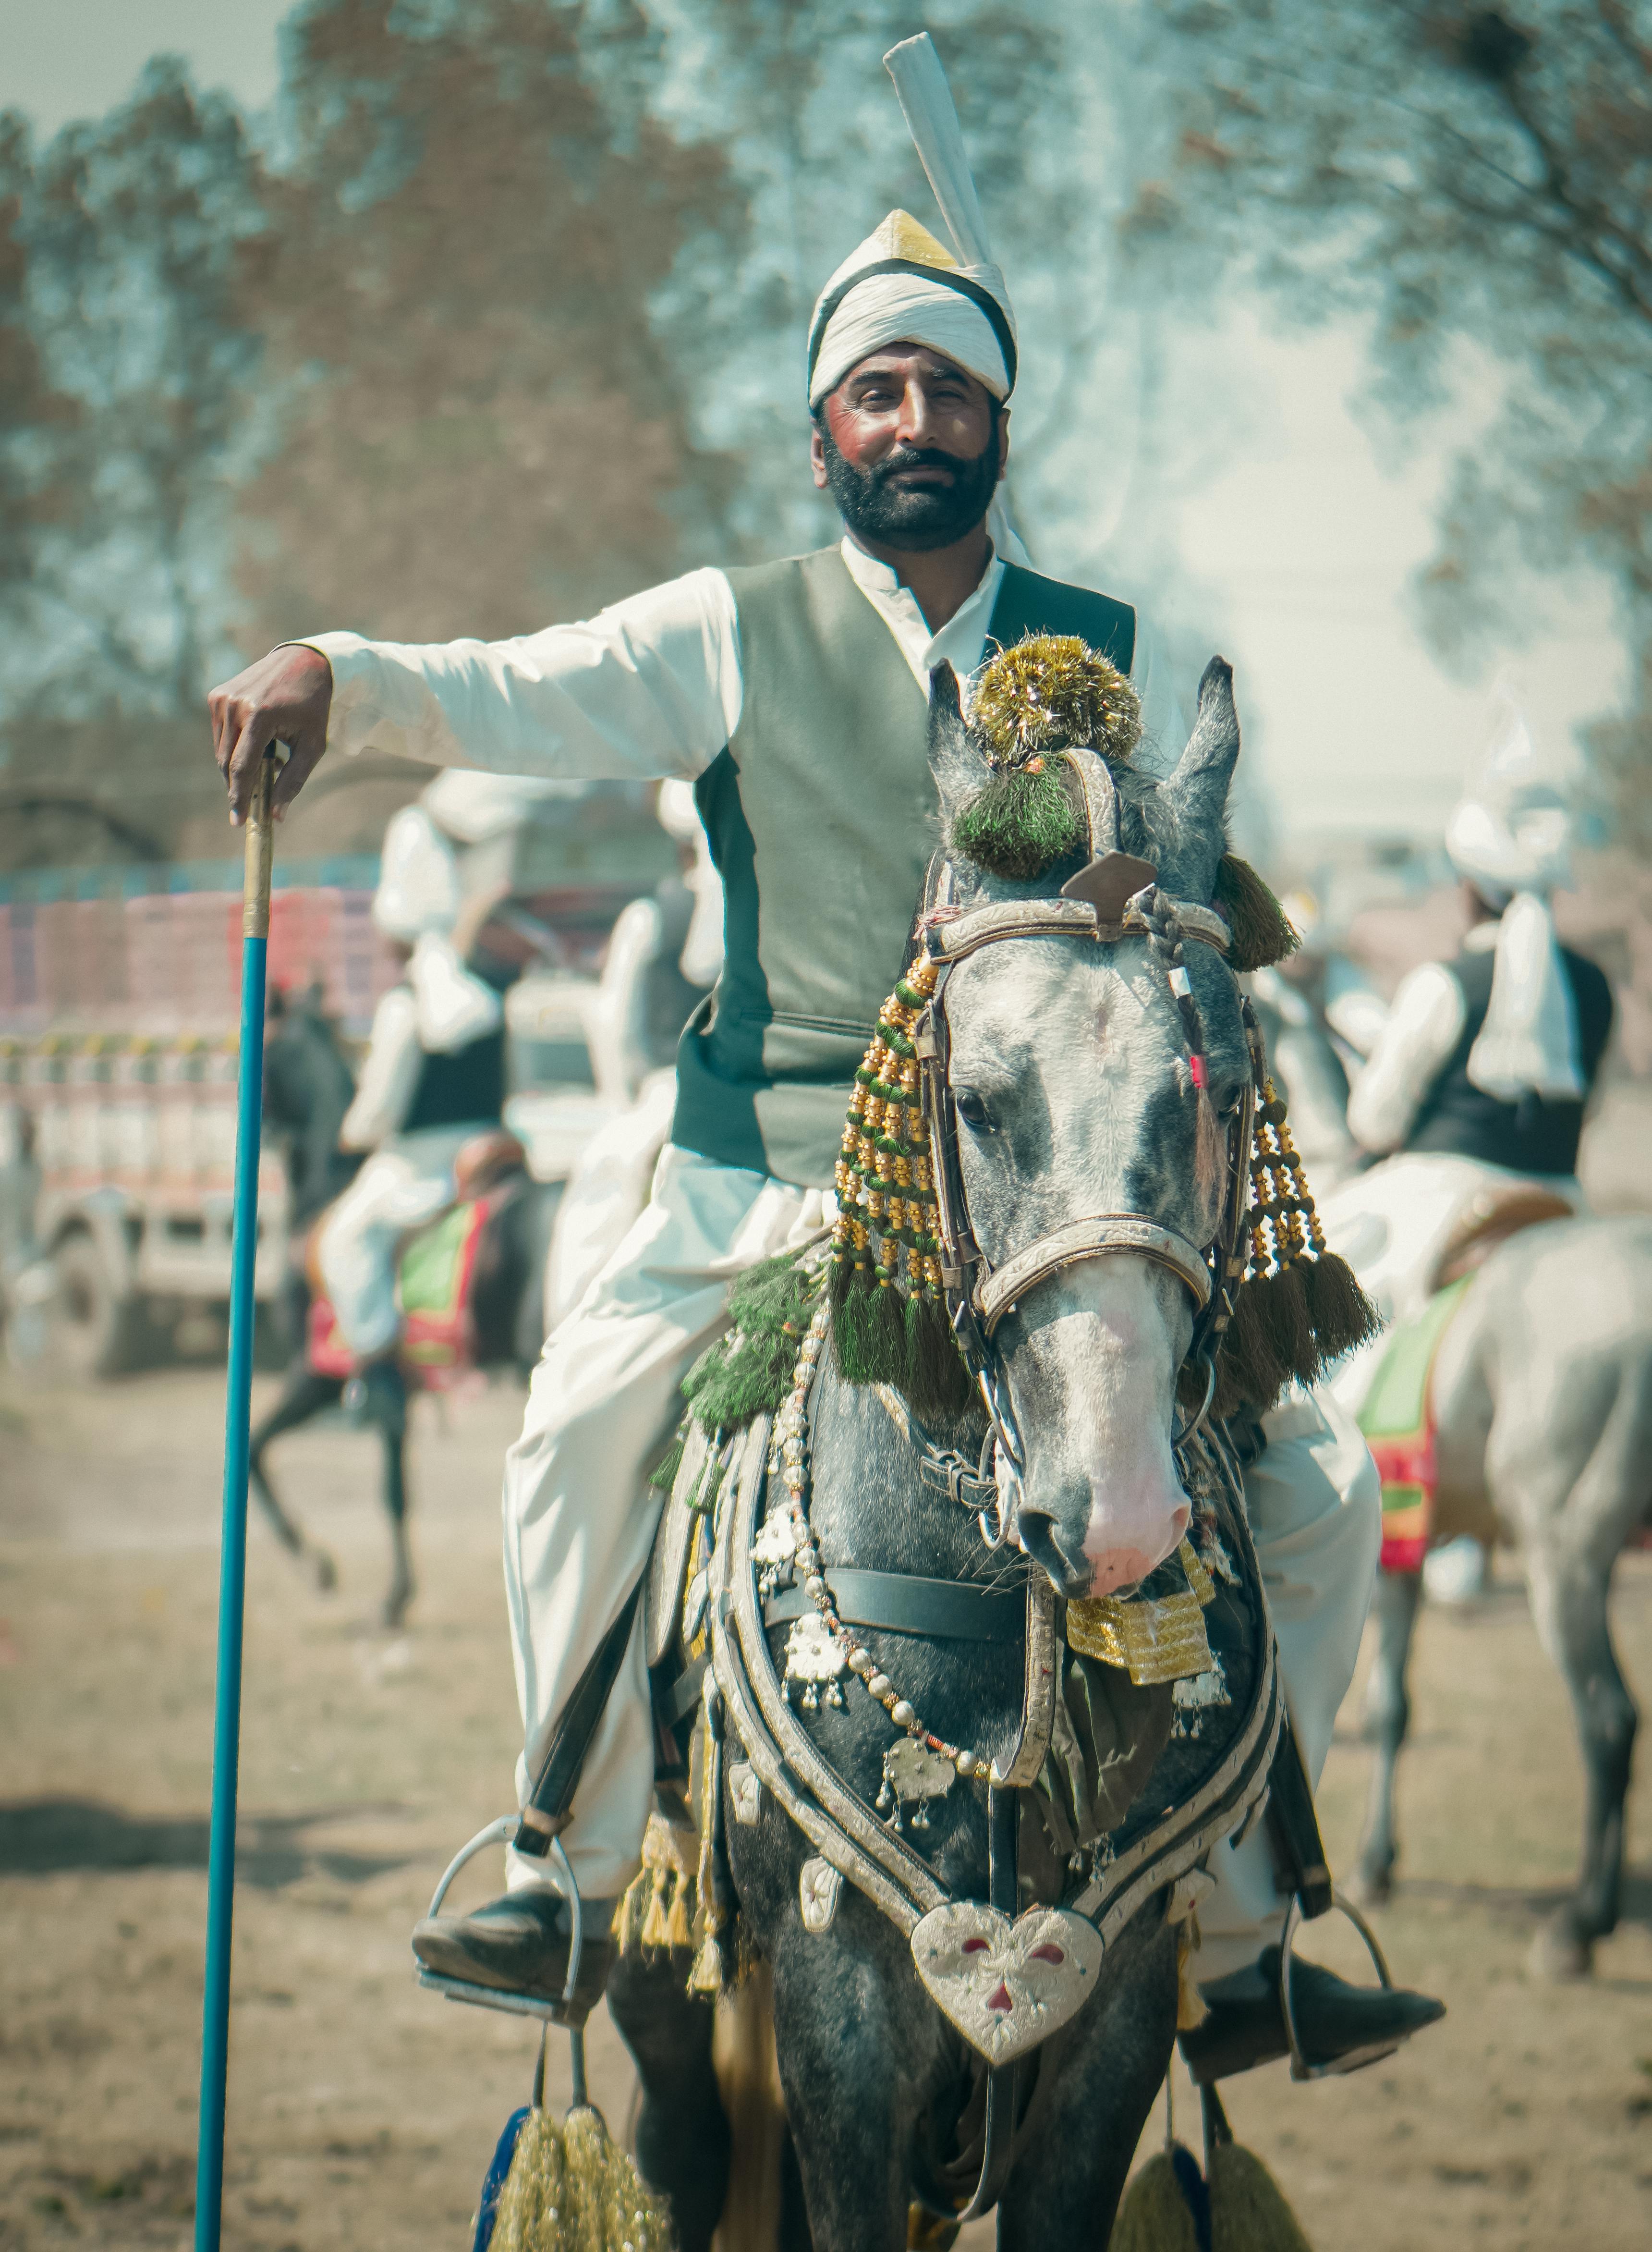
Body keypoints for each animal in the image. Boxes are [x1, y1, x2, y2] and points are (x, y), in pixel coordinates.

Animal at [617, 657, 1323, 2252]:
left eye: (1222, 1087)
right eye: (983, 1099)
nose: (1112, 1516)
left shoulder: (1115, 2000)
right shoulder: (840, 2003)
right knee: (676, 2143)